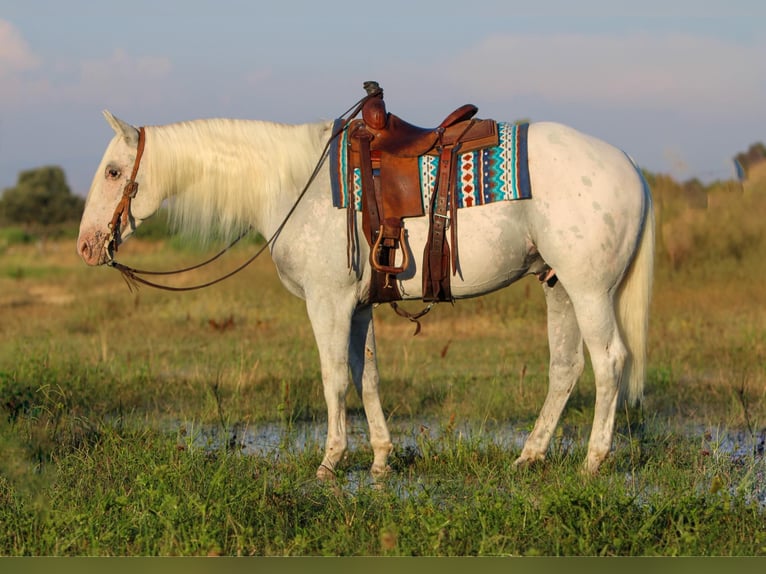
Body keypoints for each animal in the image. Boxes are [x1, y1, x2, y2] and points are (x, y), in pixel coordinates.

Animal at [76, 107, 656, 476]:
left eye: (113, 172)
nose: (86, 245)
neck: (293, 184)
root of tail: (631, 165)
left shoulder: (327, 302)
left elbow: (333, 378)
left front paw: (330, 461)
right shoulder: (358, 307)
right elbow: (367, 376)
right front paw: (379, 458)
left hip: (589, 290)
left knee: (609, 361)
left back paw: (592, 462)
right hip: (558, 287)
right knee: (566, 368)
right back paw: (529, 457)